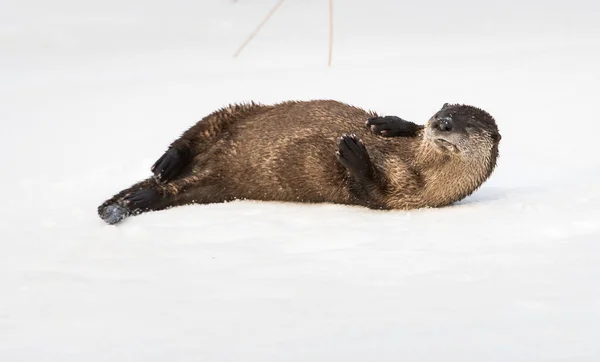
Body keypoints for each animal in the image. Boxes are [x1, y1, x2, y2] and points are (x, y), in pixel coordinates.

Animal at [98, 99, 502, 223]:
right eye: (443, 111)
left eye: (467, 125)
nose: (441, 123)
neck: (414, 165)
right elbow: (406, 127)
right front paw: (387, 123)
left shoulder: (404, 199)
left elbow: (367, 193)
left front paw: (352, 152)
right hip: (239, 113)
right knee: (196, 132)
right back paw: (165, 164)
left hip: (214, 182)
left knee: (176, 190)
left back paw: (131, 201)